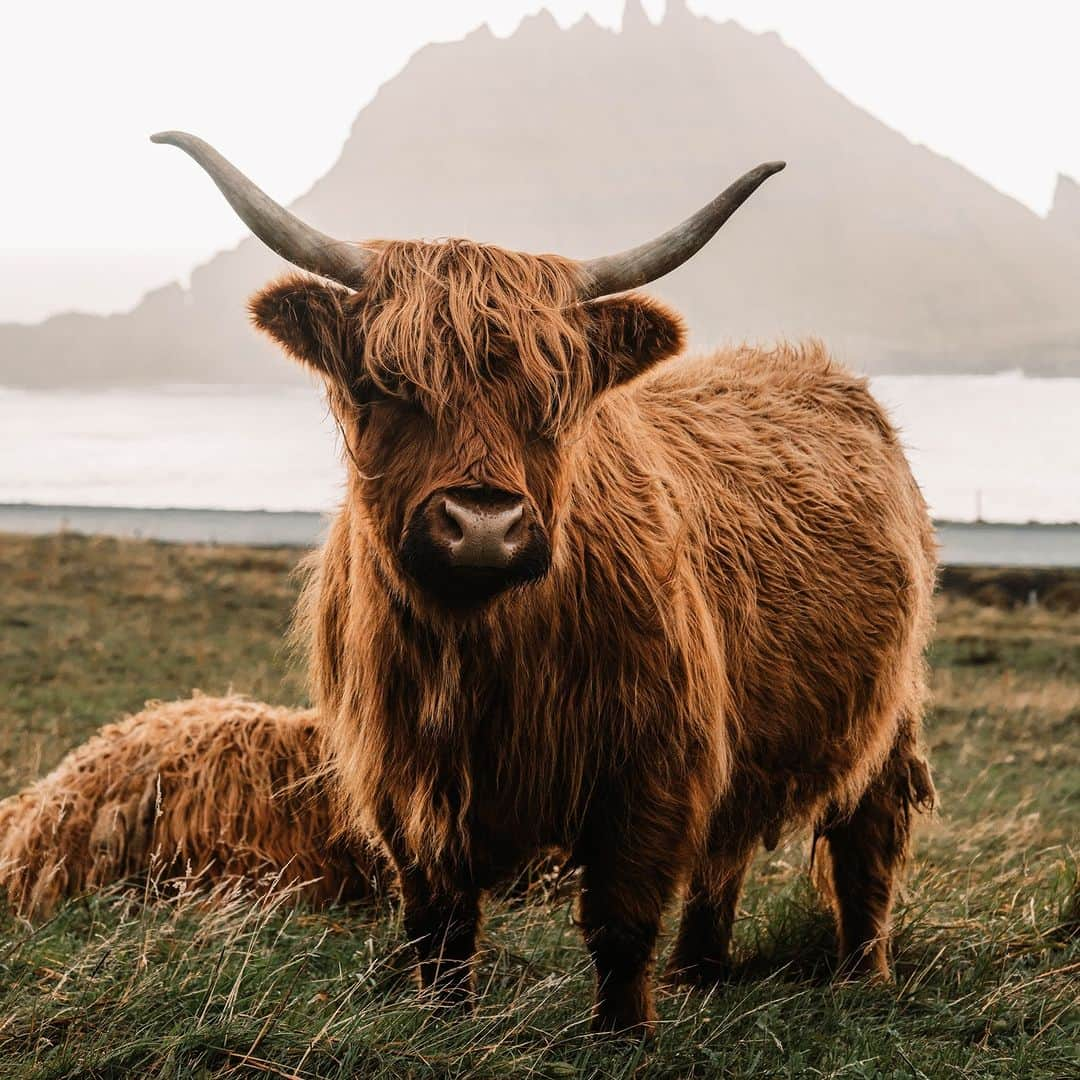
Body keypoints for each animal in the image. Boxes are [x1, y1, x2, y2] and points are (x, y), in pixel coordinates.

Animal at [152, 130, 937, 1032]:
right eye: (387, 386)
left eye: (554, 397)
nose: (483, 525)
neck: (481, 652)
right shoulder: (403, 782)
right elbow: (438, 927)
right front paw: (443, 1023)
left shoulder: (652, 762)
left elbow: (621, 919)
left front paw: (623, 1035)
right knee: (726, 849)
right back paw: (699, 973)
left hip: (890, 711)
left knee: (866, 840)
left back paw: (861, 978)